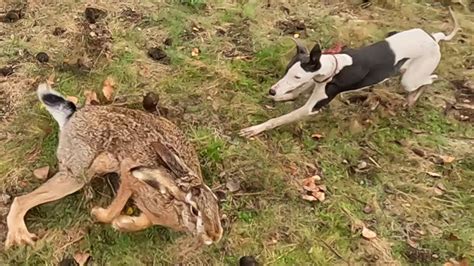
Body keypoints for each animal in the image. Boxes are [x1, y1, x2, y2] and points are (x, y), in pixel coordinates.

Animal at [241, 7, 460, 137]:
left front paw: (255, 129)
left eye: (296, 76)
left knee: (430, 79)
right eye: (286, 71)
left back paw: (414, 97)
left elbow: (278, 119)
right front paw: (279, 97)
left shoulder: (311, 107)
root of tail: (434, 38)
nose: (271, 90)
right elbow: (296, 92)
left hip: (411, 78)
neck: (335, 66)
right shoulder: (316, 82)